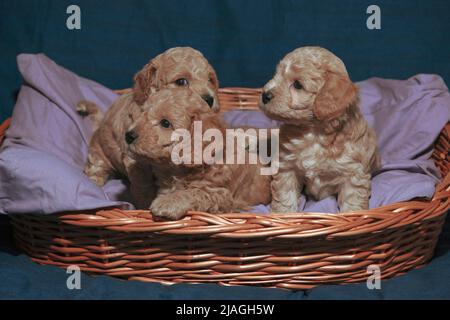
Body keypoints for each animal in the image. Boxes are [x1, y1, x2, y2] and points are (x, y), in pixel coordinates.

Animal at [83, 47, 221, 208]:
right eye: (181, 81)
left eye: (210, 80)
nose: (209, 99)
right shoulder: (135, 160)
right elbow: (144, 185)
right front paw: (145, 205)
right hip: (98, 154)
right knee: (96, 168)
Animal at [128, 87, 272, 220]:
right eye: (142, 114)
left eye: (165, 123)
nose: (128, 135)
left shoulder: (223, 196)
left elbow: (196, 192)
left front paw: (167, 202)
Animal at [260, 47, 380, 212]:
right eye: (276, 75)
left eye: (297, 85)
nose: (264, 96)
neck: (314, 133)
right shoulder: (287, 167)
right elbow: (285, 196)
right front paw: (283, 214)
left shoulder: (353, 173)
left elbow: (352, 202)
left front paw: (353, 215)